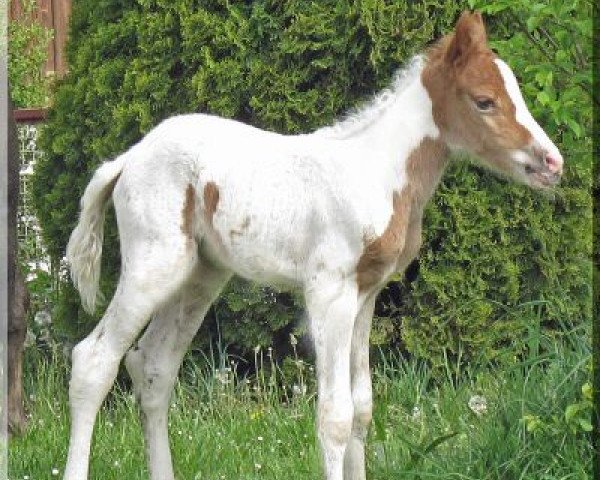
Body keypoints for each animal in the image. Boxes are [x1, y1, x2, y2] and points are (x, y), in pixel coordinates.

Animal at [64, 10, 564, 480]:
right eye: (484, 101)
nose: (552, 163)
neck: (377, 172)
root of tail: (128, 158)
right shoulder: (330, 291)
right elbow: (335, 416)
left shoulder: (366, 294)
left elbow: (363, 407)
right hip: (154, 265)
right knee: (94, 360)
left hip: (201, 275)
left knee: (153, 368)